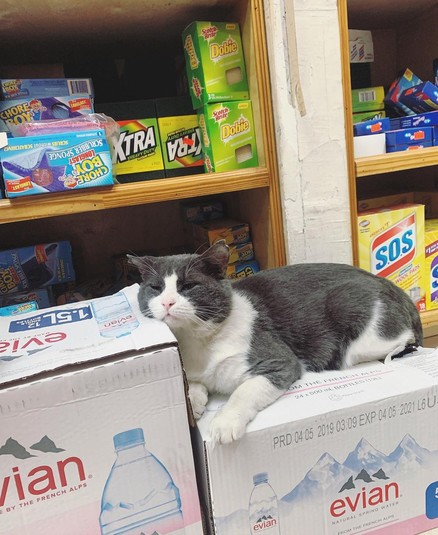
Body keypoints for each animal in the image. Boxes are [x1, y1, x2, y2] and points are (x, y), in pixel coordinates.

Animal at [129, 241, 422, 445]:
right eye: (155, 288)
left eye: (188, 286)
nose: (167, 303)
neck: (199, 342)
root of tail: (396, 290)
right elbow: (192, 385)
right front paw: (196, 402)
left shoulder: (280, 360)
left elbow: (244, 390)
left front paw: (224, 423)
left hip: (354, 322)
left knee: (403, 341)